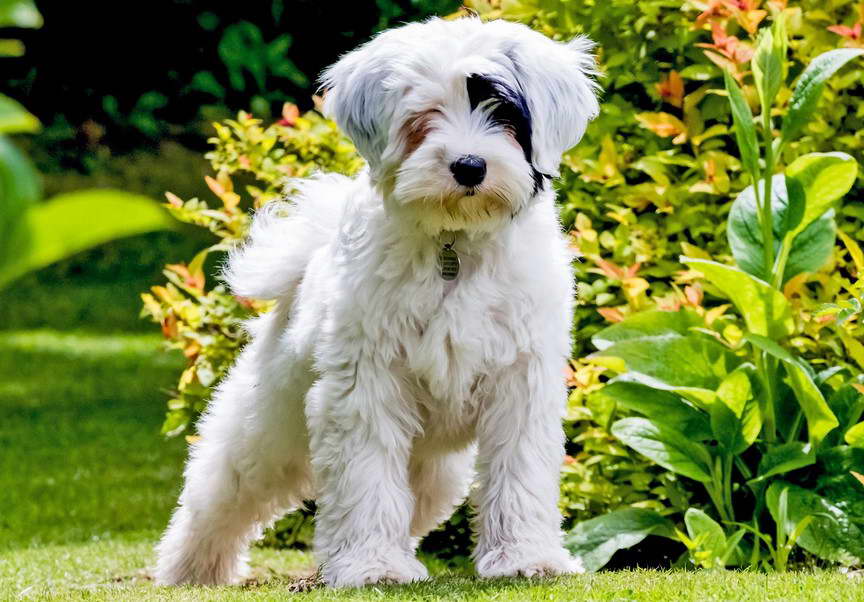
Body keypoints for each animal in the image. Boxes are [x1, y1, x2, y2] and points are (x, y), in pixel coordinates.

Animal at [155, 15, 596, 584]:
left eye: (503, 112)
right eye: (424, 117)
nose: (469, 166)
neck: (453, 244)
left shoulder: (521, 383)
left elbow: (518, 474)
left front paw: (526, 557)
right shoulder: (366, 385)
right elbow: (365, 477)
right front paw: (372, 566)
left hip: (435, 469)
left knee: (412, 502)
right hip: (268, 428)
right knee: (222, 490)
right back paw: (191, 567)